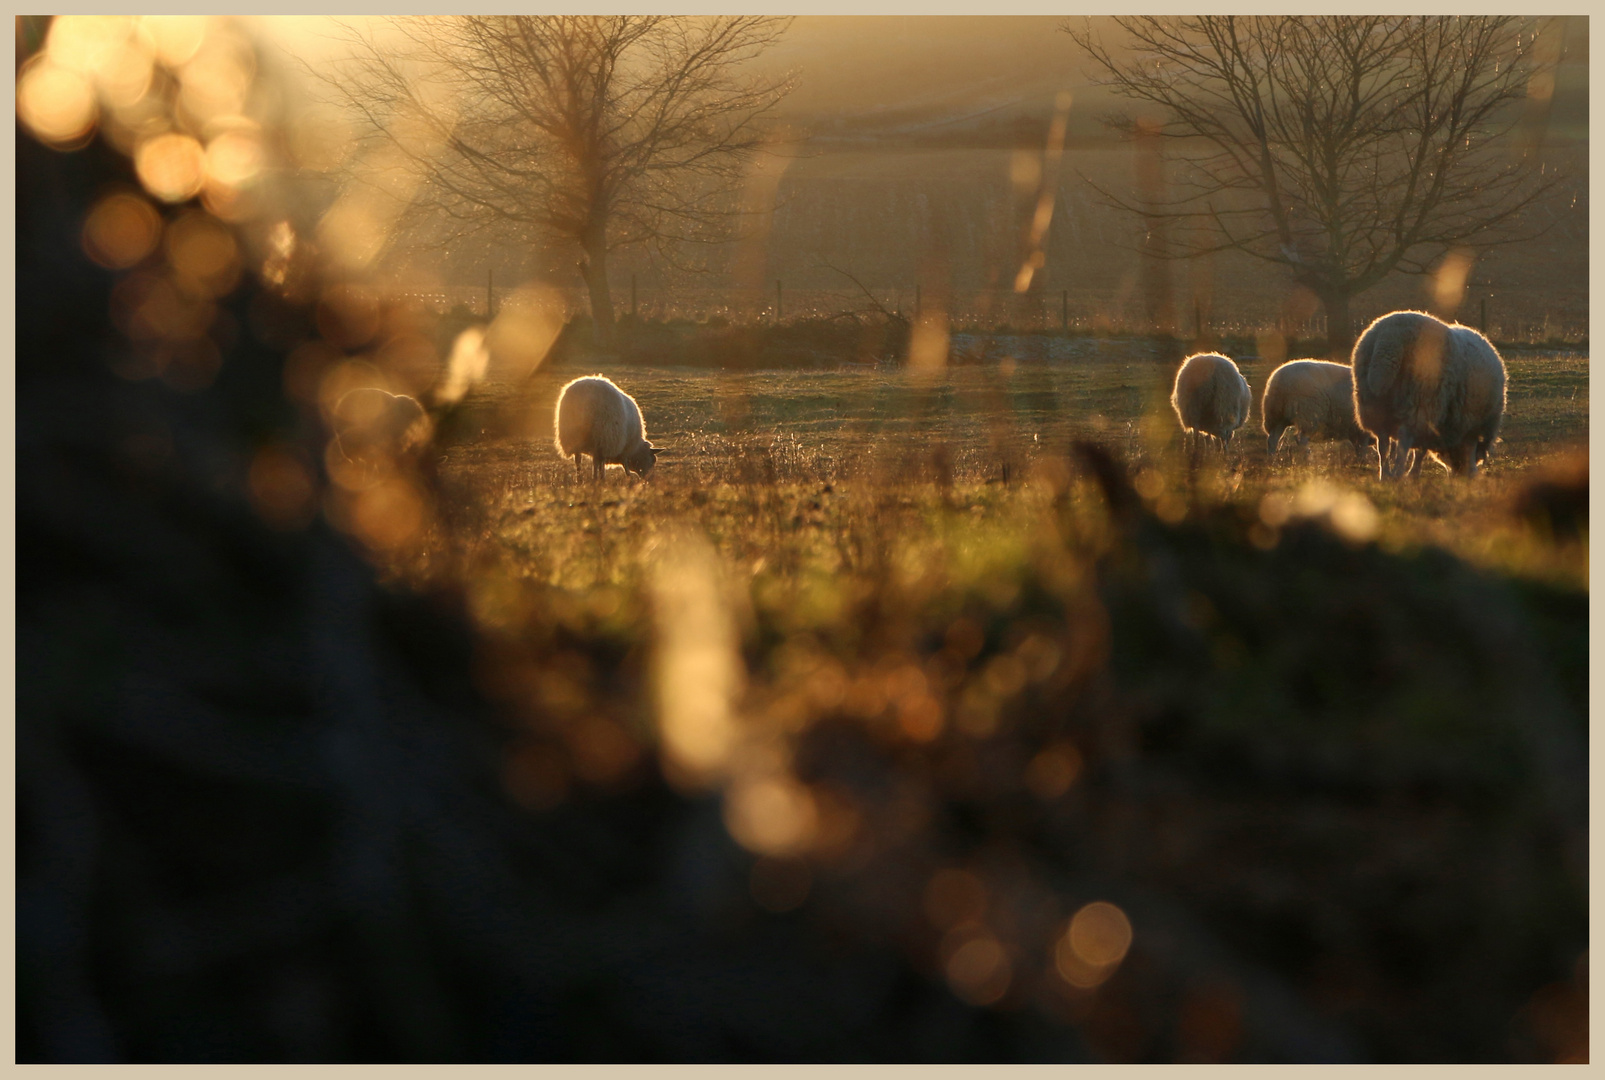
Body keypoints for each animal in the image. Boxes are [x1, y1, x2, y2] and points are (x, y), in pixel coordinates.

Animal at [1354, 311, 1502, 481]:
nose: (1458, 476)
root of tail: (1390, 338)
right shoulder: (1453, 422)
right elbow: (1421, 451)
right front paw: (1413, 474)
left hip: (1374, 405)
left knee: (1383, 444)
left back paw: (1385, 475)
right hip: (1419, 401)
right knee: (1403, 443)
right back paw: (1398, 474)